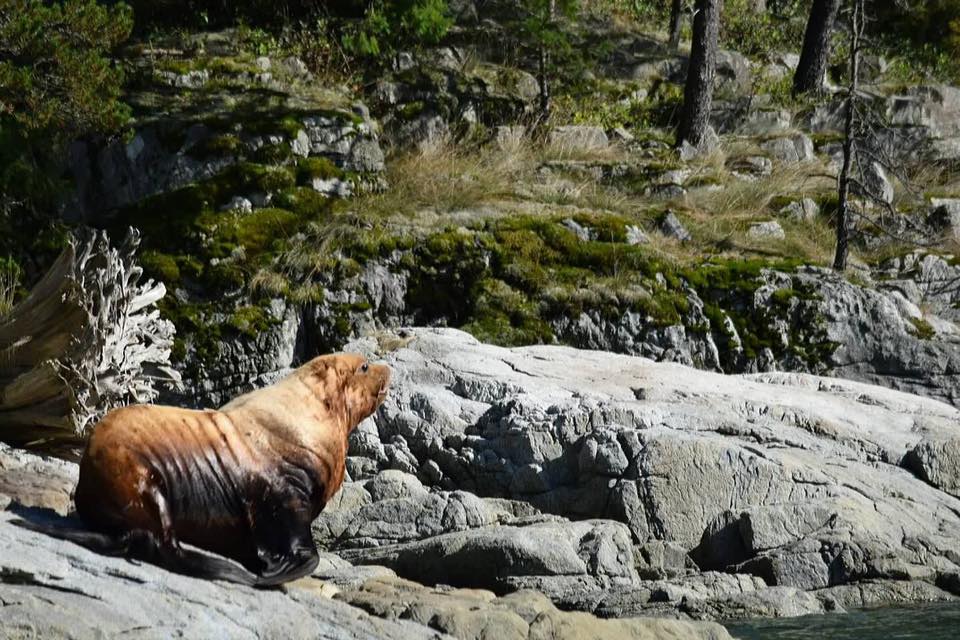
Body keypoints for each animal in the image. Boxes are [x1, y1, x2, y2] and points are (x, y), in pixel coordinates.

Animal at [18, 353, 390, 587]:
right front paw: (276, 567)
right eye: (364, 366)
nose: (388, 369)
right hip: (140, 479)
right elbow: (294, 539)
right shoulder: (283, 490)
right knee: (160, 542)